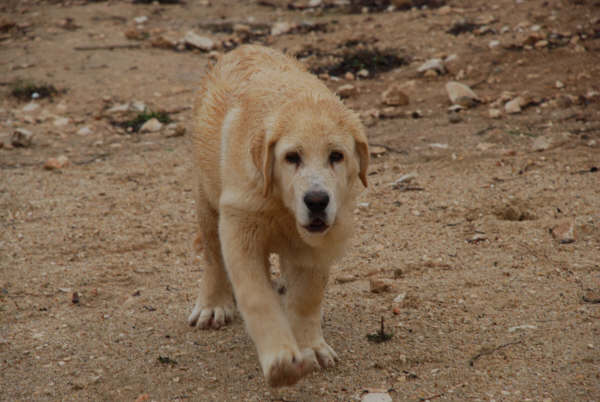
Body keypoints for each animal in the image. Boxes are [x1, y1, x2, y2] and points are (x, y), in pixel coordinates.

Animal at [188, 45, 368, 388]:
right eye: (291, 157)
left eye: (336, 156)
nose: (316, 200)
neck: (280, 204)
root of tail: (243, 47)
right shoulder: (239, 224)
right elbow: (257, 297)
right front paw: (281, 361)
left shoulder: (319, 241)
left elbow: (307, 297)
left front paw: (311, 348)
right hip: (206, 195)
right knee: (213, 255)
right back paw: (212, 306)